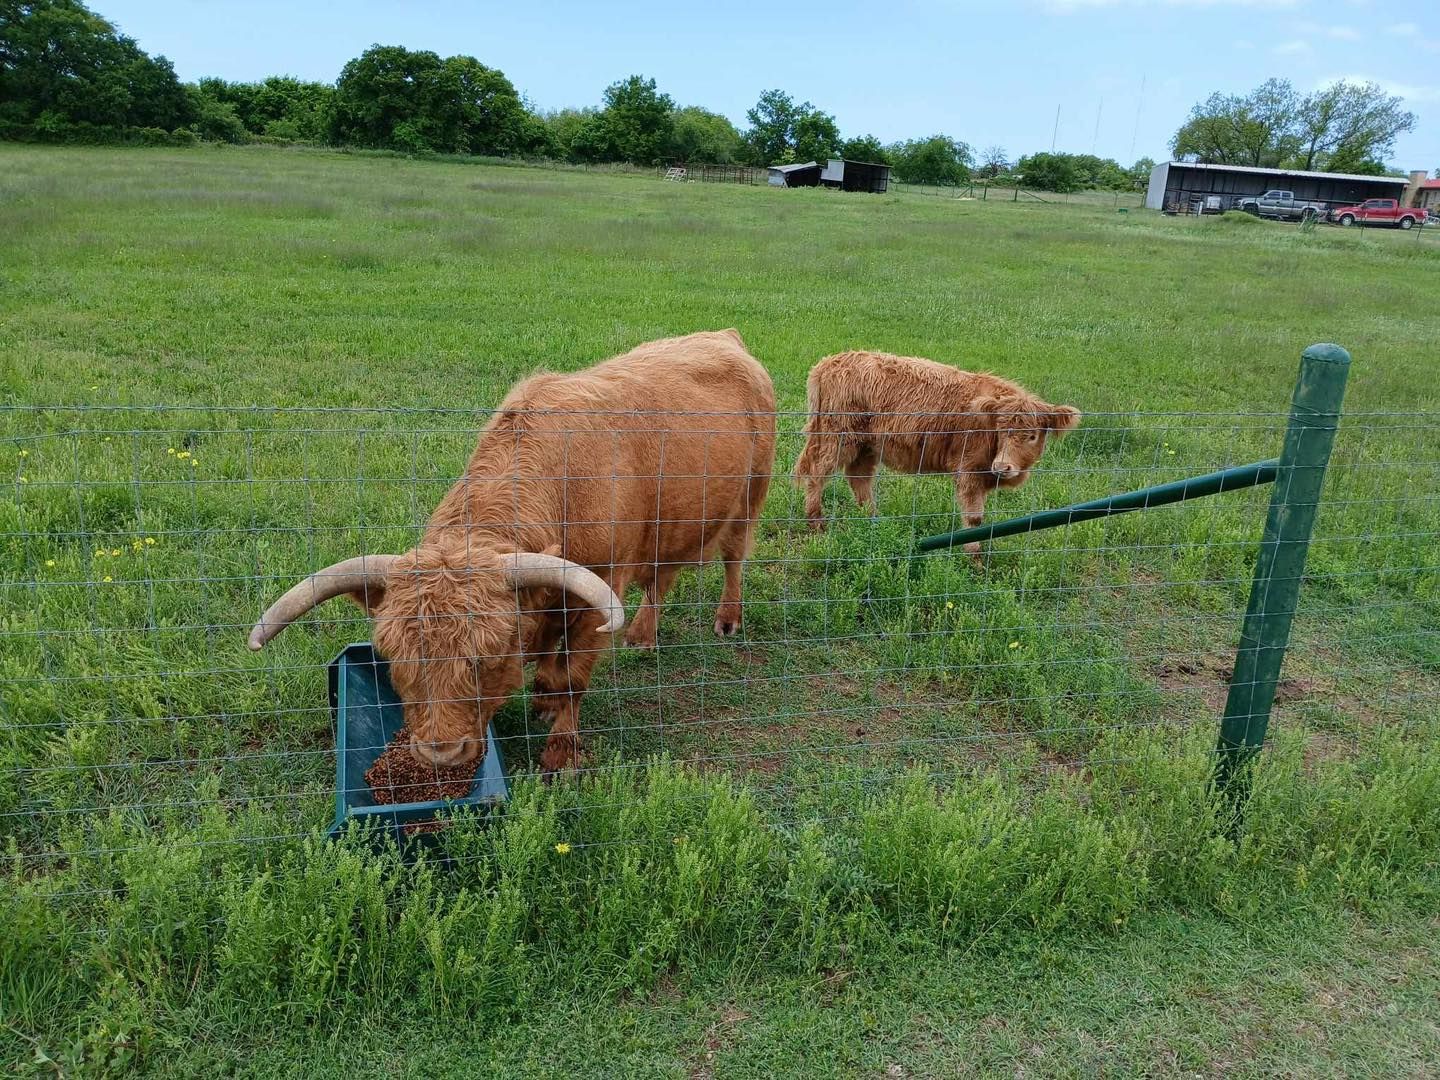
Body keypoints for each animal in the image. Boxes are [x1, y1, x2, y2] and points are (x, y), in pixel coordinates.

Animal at [249, 330, 776, 773]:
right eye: (393, 655)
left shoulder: (599, 595)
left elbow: (570, 676)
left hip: (750, 497)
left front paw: (560, 752)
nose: (441, 754)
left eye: (489, 656)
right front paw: (542, 699)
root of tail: (724, 336)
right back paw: (643, 634)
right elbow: (546, 653)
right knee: (663, 574)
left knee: (733, 556)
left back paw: (727, 619)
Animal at [793, 351, 1079, 562]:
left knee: (859, 479)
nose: (1002, 466)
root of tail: (829, 362)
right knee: (817, 473)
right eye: (1000, 430)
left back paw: (873, 521)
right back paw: (816, 523)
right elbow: (975, 518)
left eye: (1032, 436)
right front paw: (975, 560)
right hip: (837, 437)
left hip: (866, 446)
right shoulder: (969, 470)